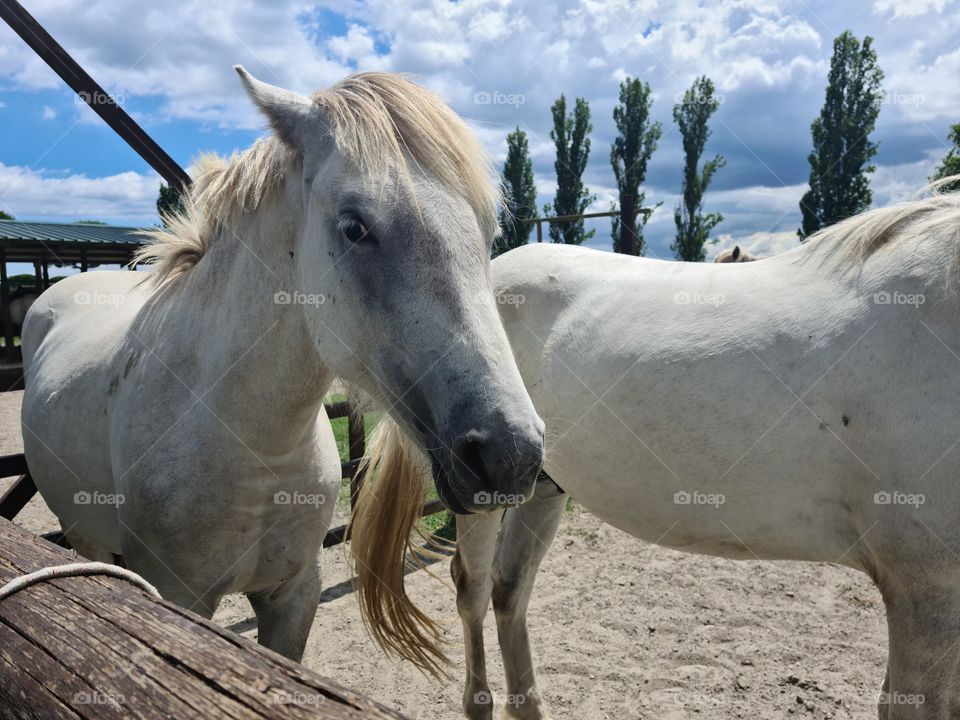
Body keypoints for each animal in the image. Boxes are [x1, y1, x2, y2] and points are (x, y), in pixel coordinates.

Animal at [20, 67, 543, 664]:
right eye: (355, 227)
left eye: (486, 230)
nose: (512, 455)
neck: (255, 449)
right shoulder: (180, 595)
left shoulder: (295, 592)